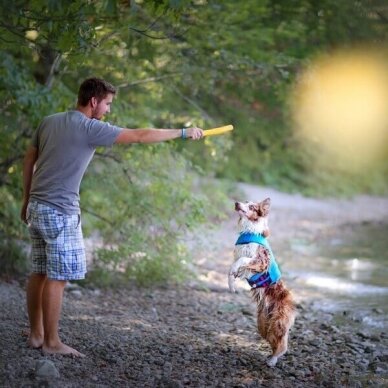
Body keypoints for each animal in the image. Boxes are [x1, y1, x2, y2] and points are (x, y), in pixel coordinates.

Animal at [229, 199, 296, 366]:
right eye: (244, 202)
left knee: (282, 344)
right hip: (263, 324)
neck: (249, 229)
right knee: (272, 340)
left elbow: (241, 260)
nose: (236, 203)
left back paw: (272, 361)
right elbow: (232, 270)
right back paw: (271, 357)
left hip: (278, 323)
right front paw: (230, 284)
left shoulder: (260, 261)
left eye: (252, 206)